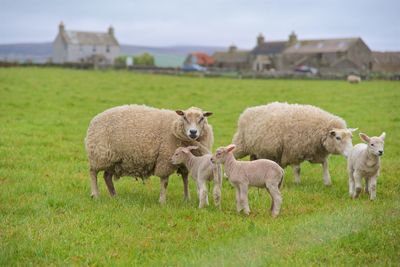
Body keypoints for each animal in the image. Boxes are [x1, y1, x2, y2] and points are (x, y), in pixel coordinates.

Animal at [85, 104, 214, 203]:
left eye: (202, 118)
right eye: (185, 117)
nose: (193, 132)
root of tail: (95, 119)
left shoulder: (184, 163)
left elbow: (185, 179)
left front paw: (187, 199)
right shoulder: (165, 160)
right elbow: (165, 182)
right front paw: (162, 201)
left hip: (114, 160)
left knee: (107, 176)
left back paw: (114, 196)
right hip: (99, 154)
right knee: (93, 172)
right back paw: (95, 195)